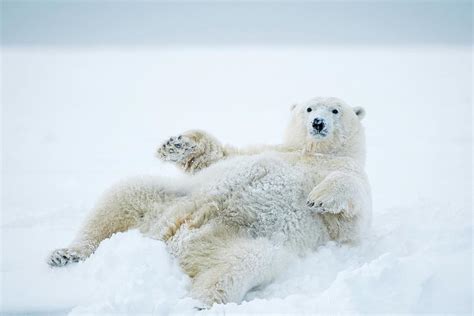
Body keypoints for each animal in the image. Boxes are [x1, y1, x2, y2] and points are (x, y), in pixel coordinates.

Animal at [49, 96, 374, 306]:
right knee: (122, 196)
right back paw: (66, 253)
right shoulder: (265, 149)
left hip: (245, 244)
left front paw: (319, 197)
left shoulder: (349, 172)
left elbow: (352, 214)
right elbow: (217, 156)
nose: (317, 122)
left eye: (335, 110)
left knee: (236, 269)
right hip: (167, 201)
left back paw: (198, 304)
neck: (313, 154)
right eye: (308, 108)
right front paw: (176, 144)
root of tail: (168, 240)